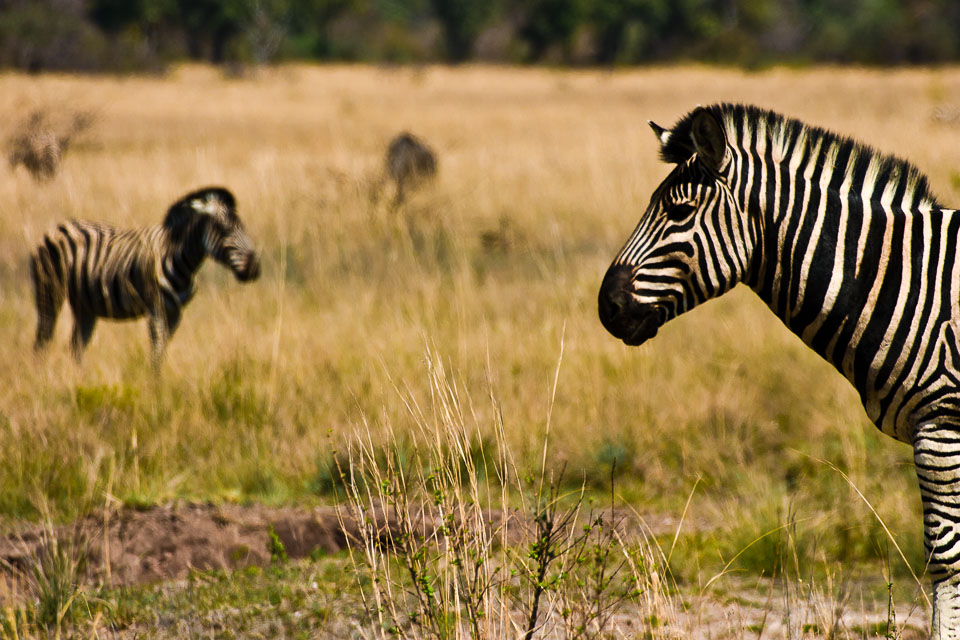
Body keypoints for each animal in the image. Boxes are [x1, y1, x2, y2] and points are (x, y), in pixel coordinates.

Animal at [31, 185, 260, 370]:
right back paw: (42, 380)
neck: (177, 256)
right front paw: (156, 391)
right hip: (50, 291)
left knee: (75, 347)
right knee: (42, 341)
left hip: (85, 305)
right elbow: (156, 356)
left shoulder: (175, 313)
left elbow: (161, 354)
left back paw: (78, 379)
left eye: (243, 227)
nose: (254, 269)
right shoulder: (156, 310)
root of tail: (58, 226)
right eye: (223, 230)